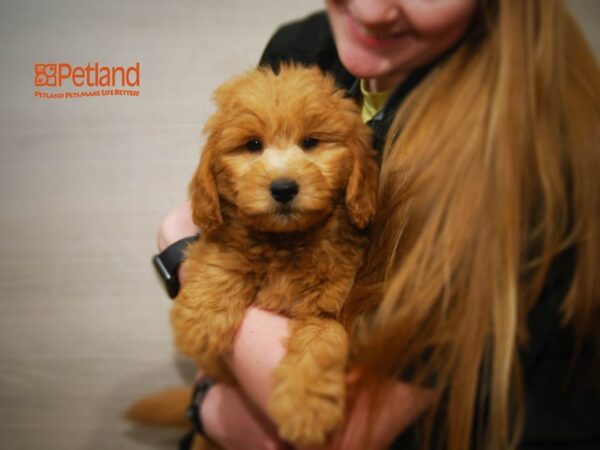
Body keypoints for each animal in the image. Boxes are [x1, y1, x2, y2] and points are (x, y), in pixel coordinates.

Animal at [170, 63, 376, 446]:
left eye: (311, 142)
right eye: (253, 145)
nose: (283, 188)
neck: (286, 242)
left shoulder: (332, 309)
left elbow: (322, 344)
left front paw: (306, 407)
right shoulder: (220, 235)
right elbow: (222, 258)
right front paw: (198, 325)